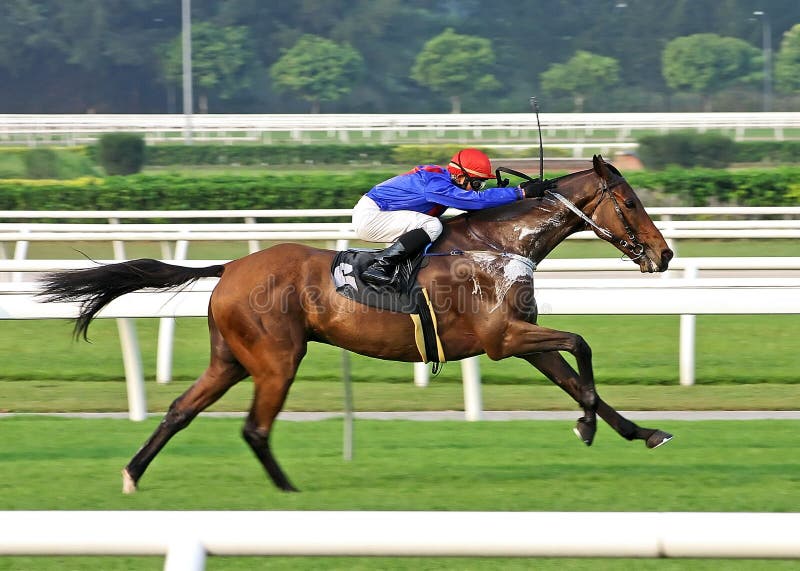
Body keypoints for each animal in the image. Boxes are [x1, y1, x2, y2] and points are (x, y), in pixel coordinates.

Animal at [39, 155, 674, 494]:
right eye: (631, 203)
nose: (664, 255)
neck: (499, 245)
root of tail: (231, 266)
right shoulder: (502, 341)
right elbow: (582, 347)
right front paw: (586, 425)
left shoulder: (521, 339)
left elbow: (575, 375)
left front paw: (640, 431)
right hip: (276, 358)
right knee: (254, 427)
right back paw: (287, 489)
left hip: (231, 358)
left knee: (180, 410)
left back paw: (132, 474)